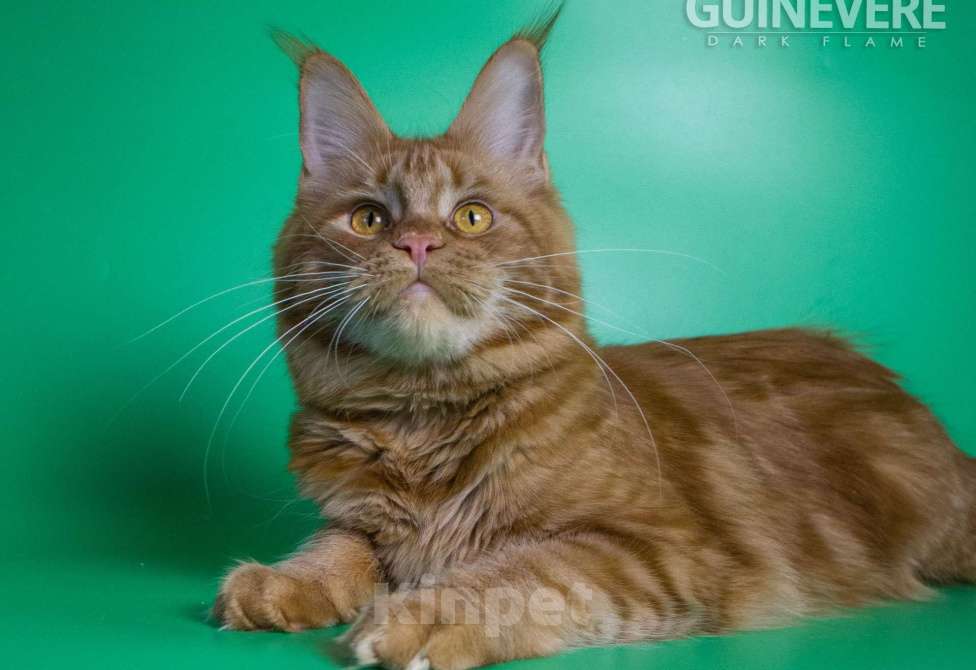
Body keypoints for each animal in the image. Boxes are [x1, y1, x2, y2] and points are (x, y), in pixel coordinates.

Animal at [212, 12, 976, 670]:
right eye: (369, 220)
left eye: (472, 216)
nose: (418, 243)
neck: (422, 421)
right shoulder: (364, 519)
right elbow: (339, 543)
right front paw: (283, 581)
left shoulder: (651, 547)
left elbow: (516, 572)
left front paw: (423, 614)